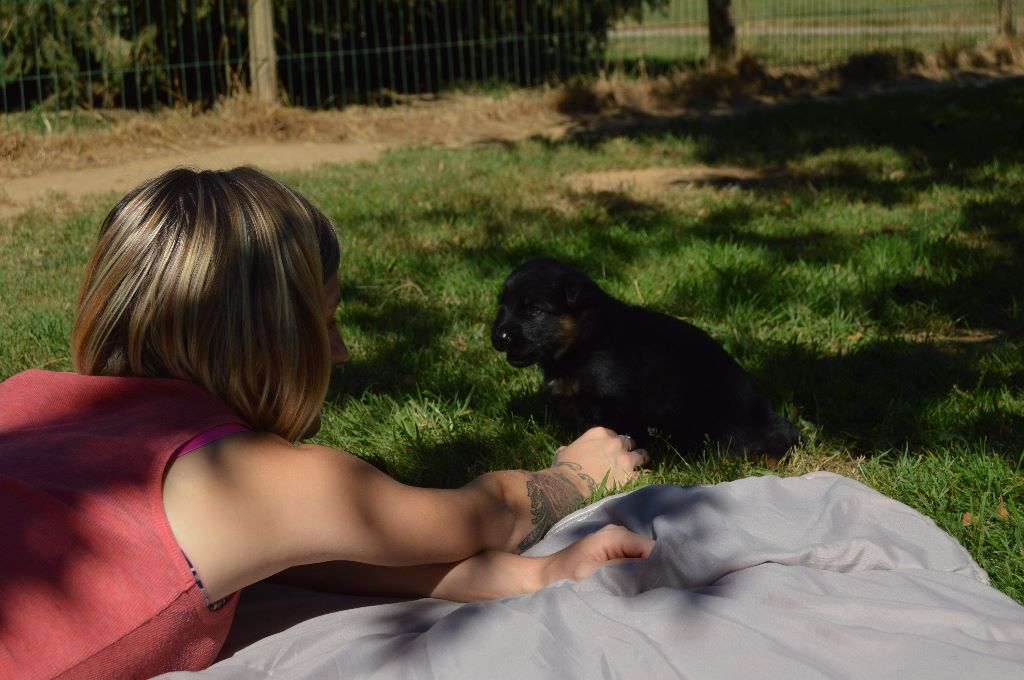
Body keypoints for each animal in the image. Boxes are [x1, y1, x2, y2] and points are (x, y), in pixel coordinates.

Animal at [493, 258, 798, 458]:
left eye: (534, 310)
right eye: (502, 307)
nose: (499, 337)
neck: (586, 340)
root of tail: (764, 413)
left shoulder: (615, 406)